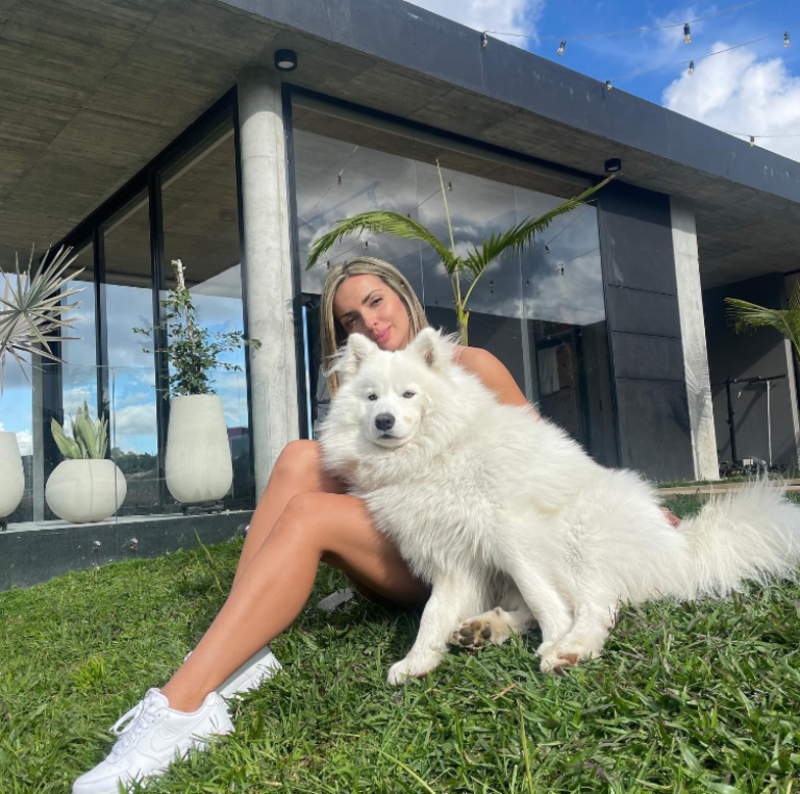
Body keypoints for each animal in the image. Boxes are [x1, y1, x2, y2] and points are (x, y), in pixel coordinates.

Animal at [319, 328, 800, 684]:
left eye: (409, 394)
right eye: (371, 397)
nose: (383, 421)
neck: (436, 454)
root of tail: (681, 548)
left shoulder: (512, 529)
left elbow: (540, 592)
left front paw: (556, 639)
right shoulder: (451, 559)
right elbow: (433, 614)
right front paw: (418, 661)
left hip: (579, 536)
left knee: (597, 606)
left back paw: (571, 646)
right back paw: (486, 628)